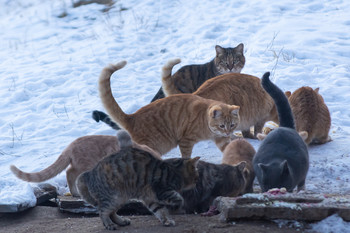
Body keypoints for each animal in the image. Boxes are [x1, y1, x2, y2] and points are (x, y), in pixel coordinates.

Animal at [98, 60, 241, 158]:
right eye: (222, 125)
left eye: (232, 125)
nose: (228, 132)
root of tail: (131, 117)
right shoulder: (185, 141)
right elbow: (186, 156)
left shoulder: (221, 140)